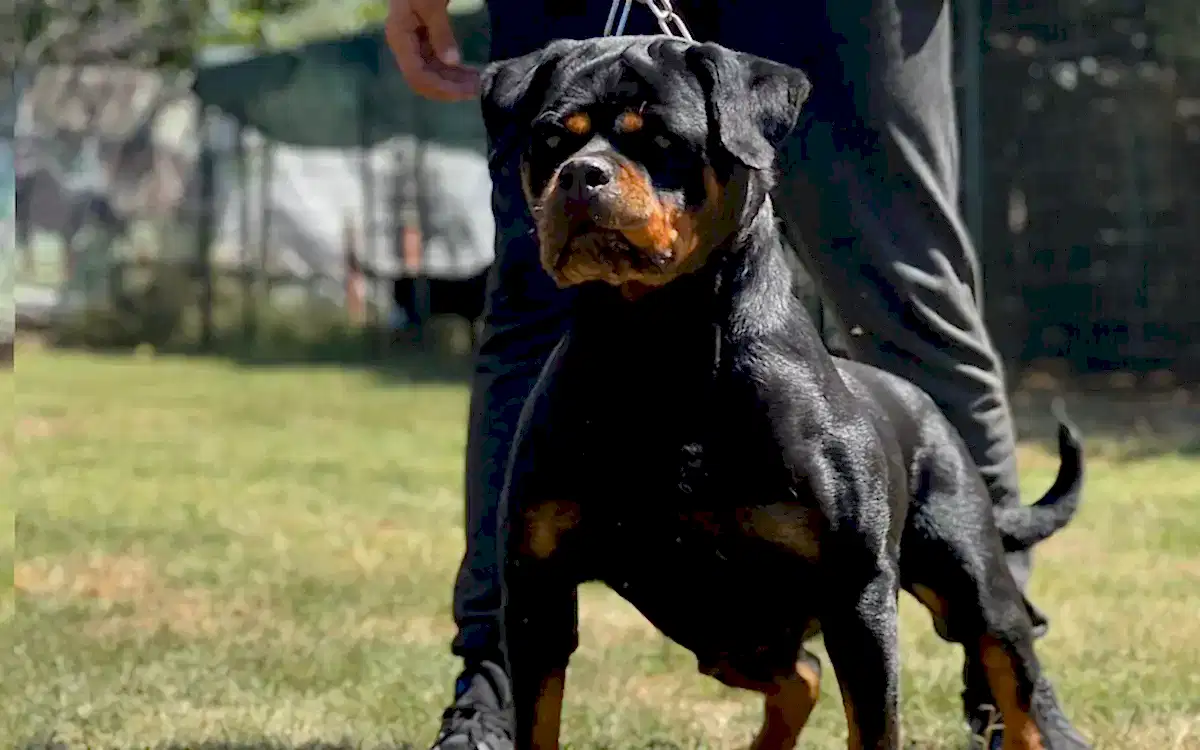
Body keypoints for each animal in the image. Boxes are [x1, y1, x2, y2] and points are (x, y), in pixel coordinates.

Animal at [481, 36, 1091, 750]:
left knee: (1008, 678)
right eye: (551, 140)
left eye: (661, 140)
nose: (582, 175)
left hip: (972, 587)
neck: (660, 351)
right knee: (801, 675)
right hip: (726, 632)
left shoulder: (857, 596)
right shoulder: (537, 594)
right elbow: (538, 722)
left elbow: (874, 727)